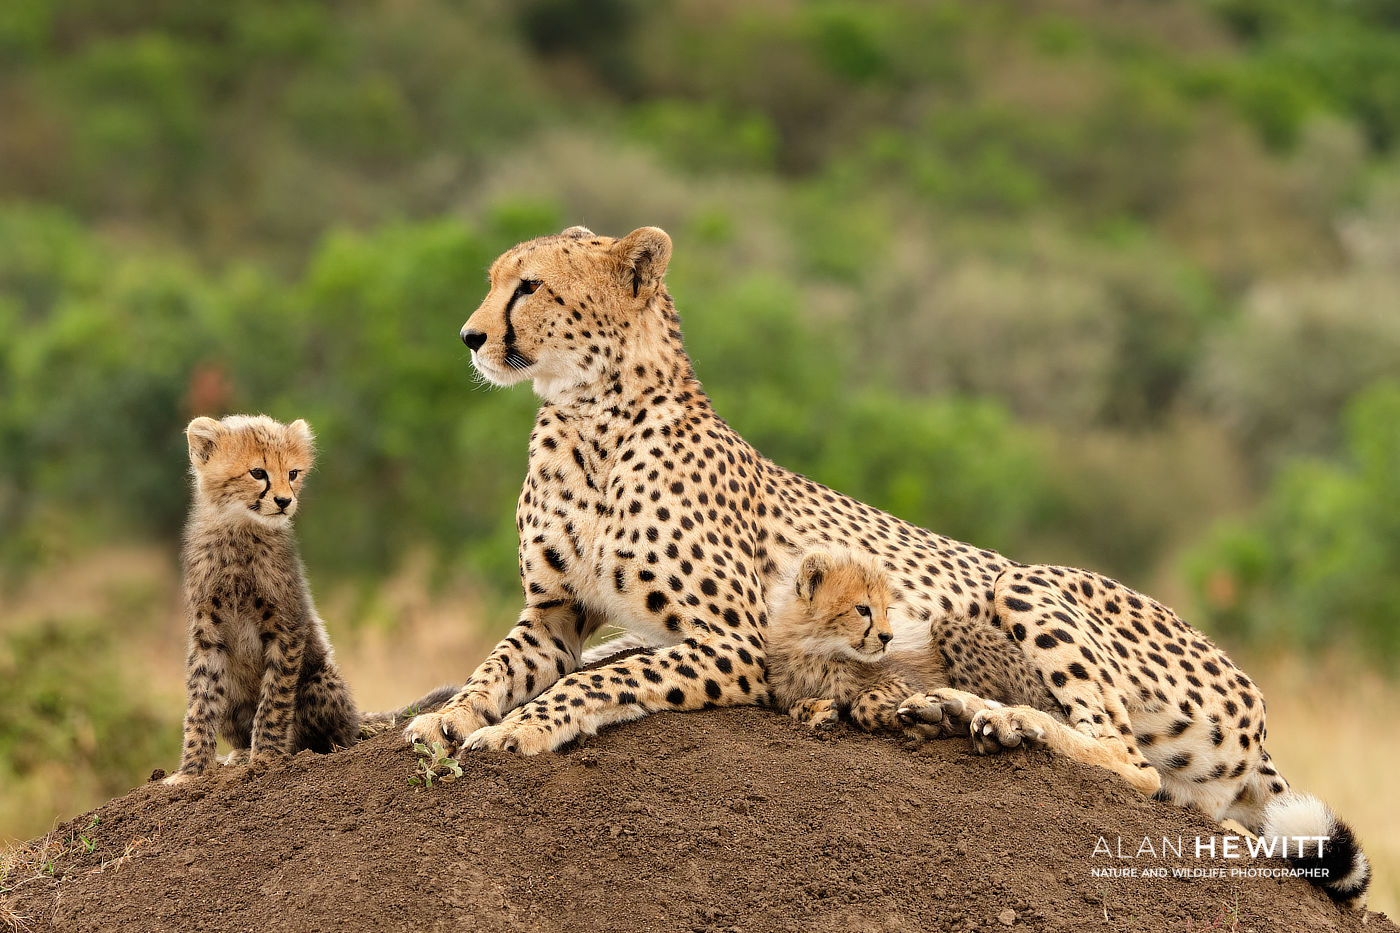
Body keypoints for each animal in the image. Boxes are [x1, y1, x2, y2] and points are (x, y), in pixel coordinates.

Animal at [167, 414, 453, 785]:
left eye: (292, 473)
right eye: (257, 472)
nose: (284, 501)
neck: (239, 530)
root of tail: (354, 715)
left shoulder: (288, 624)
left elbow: (275, 699)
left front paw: (267, 757)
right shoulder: (207, 632)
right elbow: (200, 702)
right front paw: (191, 771)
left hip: (320, 681)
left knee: (335, 736)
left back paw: (299, 751)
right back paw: (240, 753)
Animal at [404, 225, 1368, 909]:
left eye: (530, 285)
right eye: (494, 279)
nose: (470, 335)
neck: (587, 417)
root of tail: (1257, 713)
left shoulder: (733, 645)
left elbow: (597, 680)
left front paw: (525, 728)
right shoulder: (553, 614)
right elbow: (500, 667)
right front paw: (446, 718)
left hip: (1028, 580)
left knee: (1129, 760)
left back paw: (993, 714)